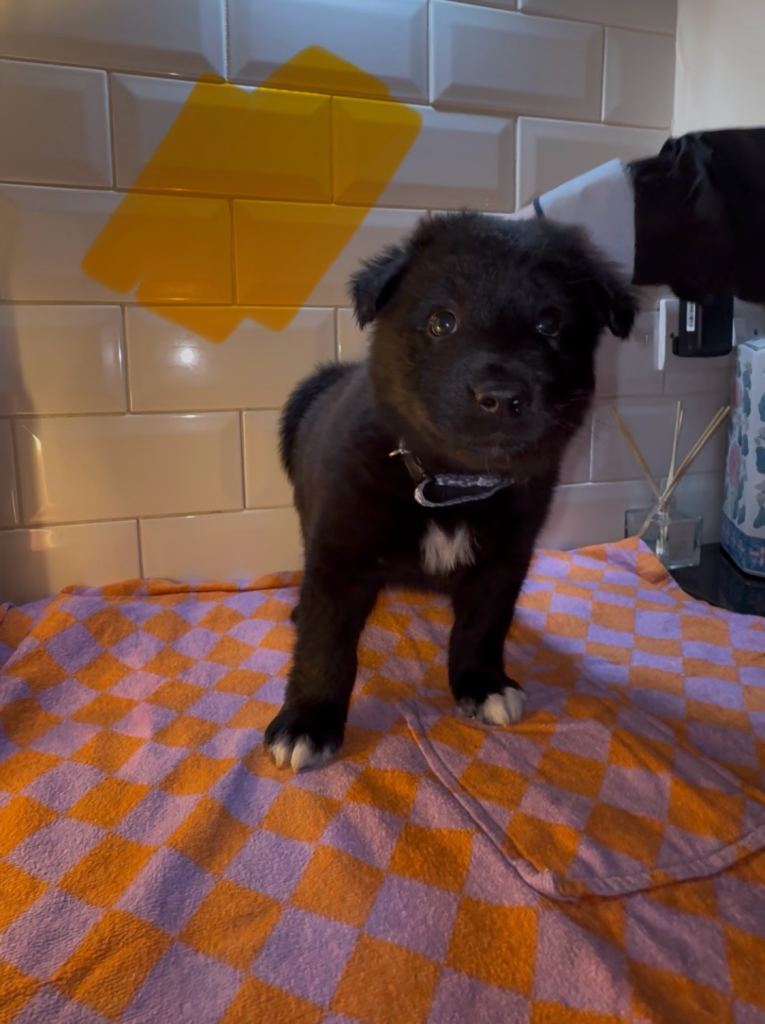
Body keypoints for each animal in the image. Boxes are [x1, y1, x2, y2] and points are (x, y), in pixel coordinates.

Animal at [265, 212, 636, 771]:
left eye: (550, 325)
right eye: (443, 321)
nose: (502, 396)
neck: (453, 482)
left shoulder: (505, 559)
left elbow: (482, 626)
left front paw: (483, 685)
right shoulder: (340, 550)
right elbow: (324, 645)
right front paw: (307, 721)